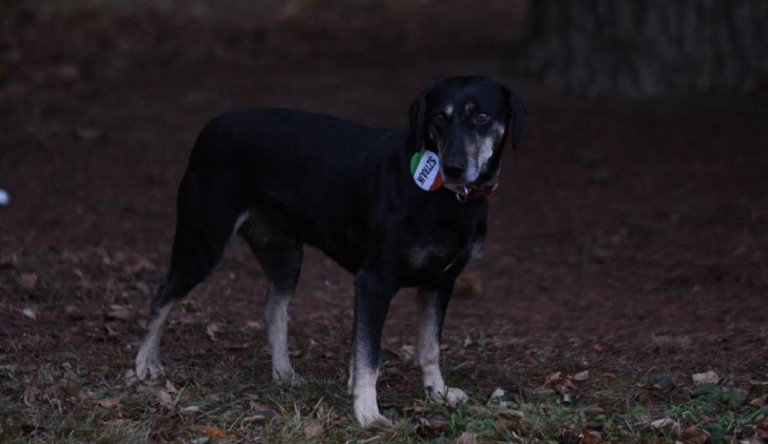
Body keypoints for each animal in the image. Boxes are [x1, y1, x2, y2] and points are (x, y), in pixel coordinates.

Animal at [135, 76, 524, 426]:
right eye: (439, 119)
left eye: (482, 117)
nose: (454, 167)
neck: (446, 198)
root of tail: (211, 125)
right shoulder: (374, 282)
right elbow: (369, 357)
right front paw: (368, 412)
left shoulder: (440, 283)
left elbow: (429, 348)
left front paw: (437, 393)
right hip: (203, 240)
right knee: (162, 295)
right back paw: (145, 363)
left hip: (284, 254)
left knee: (273, 308)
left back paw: (284, 373)